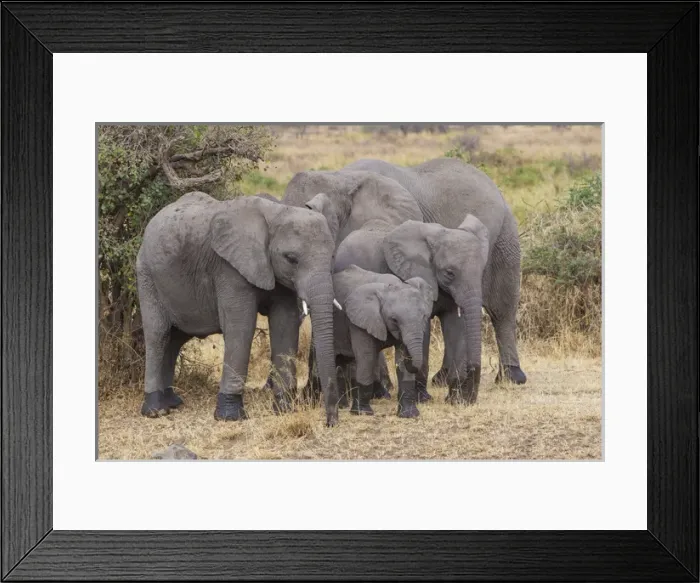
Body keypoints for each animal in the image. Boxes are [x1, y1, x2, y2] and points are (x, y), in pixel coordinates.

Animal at [135, 191, 341, 426]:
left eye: (332, 256)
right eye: (291, 259)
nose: (330, 423)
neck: (276, 212)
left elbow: (285, 324)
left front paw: (284, 410)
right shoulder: (229, 268)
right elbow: (241, 328)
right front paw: (230, 416)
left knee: (175, 339)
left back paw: (172, 402)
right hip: (146, 274)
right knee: (158, 334)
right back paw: (156, 410)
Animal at [332, 266, 434, 417]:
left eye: (424, 316)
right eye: (394, 320)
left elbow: (402, 363)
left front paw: (409, 415)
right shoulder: (359, 321)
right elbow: (367, 359)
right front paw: (362, 412)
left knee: (341, 363)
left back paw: (342, 405)